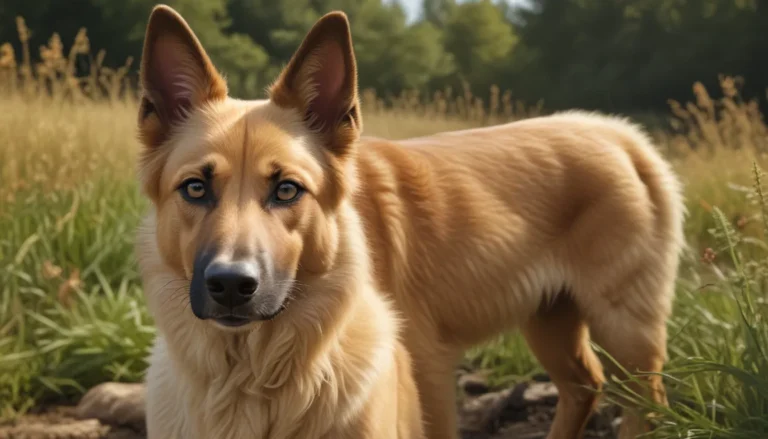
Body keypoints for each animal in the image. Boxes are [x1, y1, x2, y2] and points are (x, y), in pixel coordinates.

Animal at [81, 3, 688, 439]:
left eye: (286, 189)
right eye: (196, 188)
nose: (231, 285)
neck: (254, 369)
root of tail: (617, 134)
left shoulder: (426, 372)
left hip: (624, 330)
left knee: (645, 404)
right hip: (550, 321)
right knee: (584, 387)